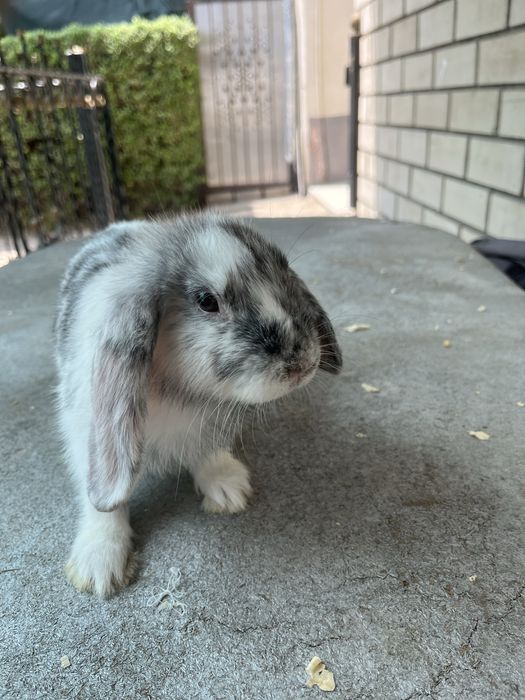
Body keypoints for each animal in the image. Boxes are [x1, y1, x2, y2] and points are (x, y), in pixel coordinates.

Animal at [54, 213, 342, 597]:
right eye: (206, 301)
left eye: (284, 270)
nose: (301, 362)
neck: (178, 394)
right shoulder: (87, 433)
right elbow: (102, 505)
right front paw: (100, 564)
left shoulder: (204, 427)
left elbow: (205, 451)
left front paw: (228, 489)